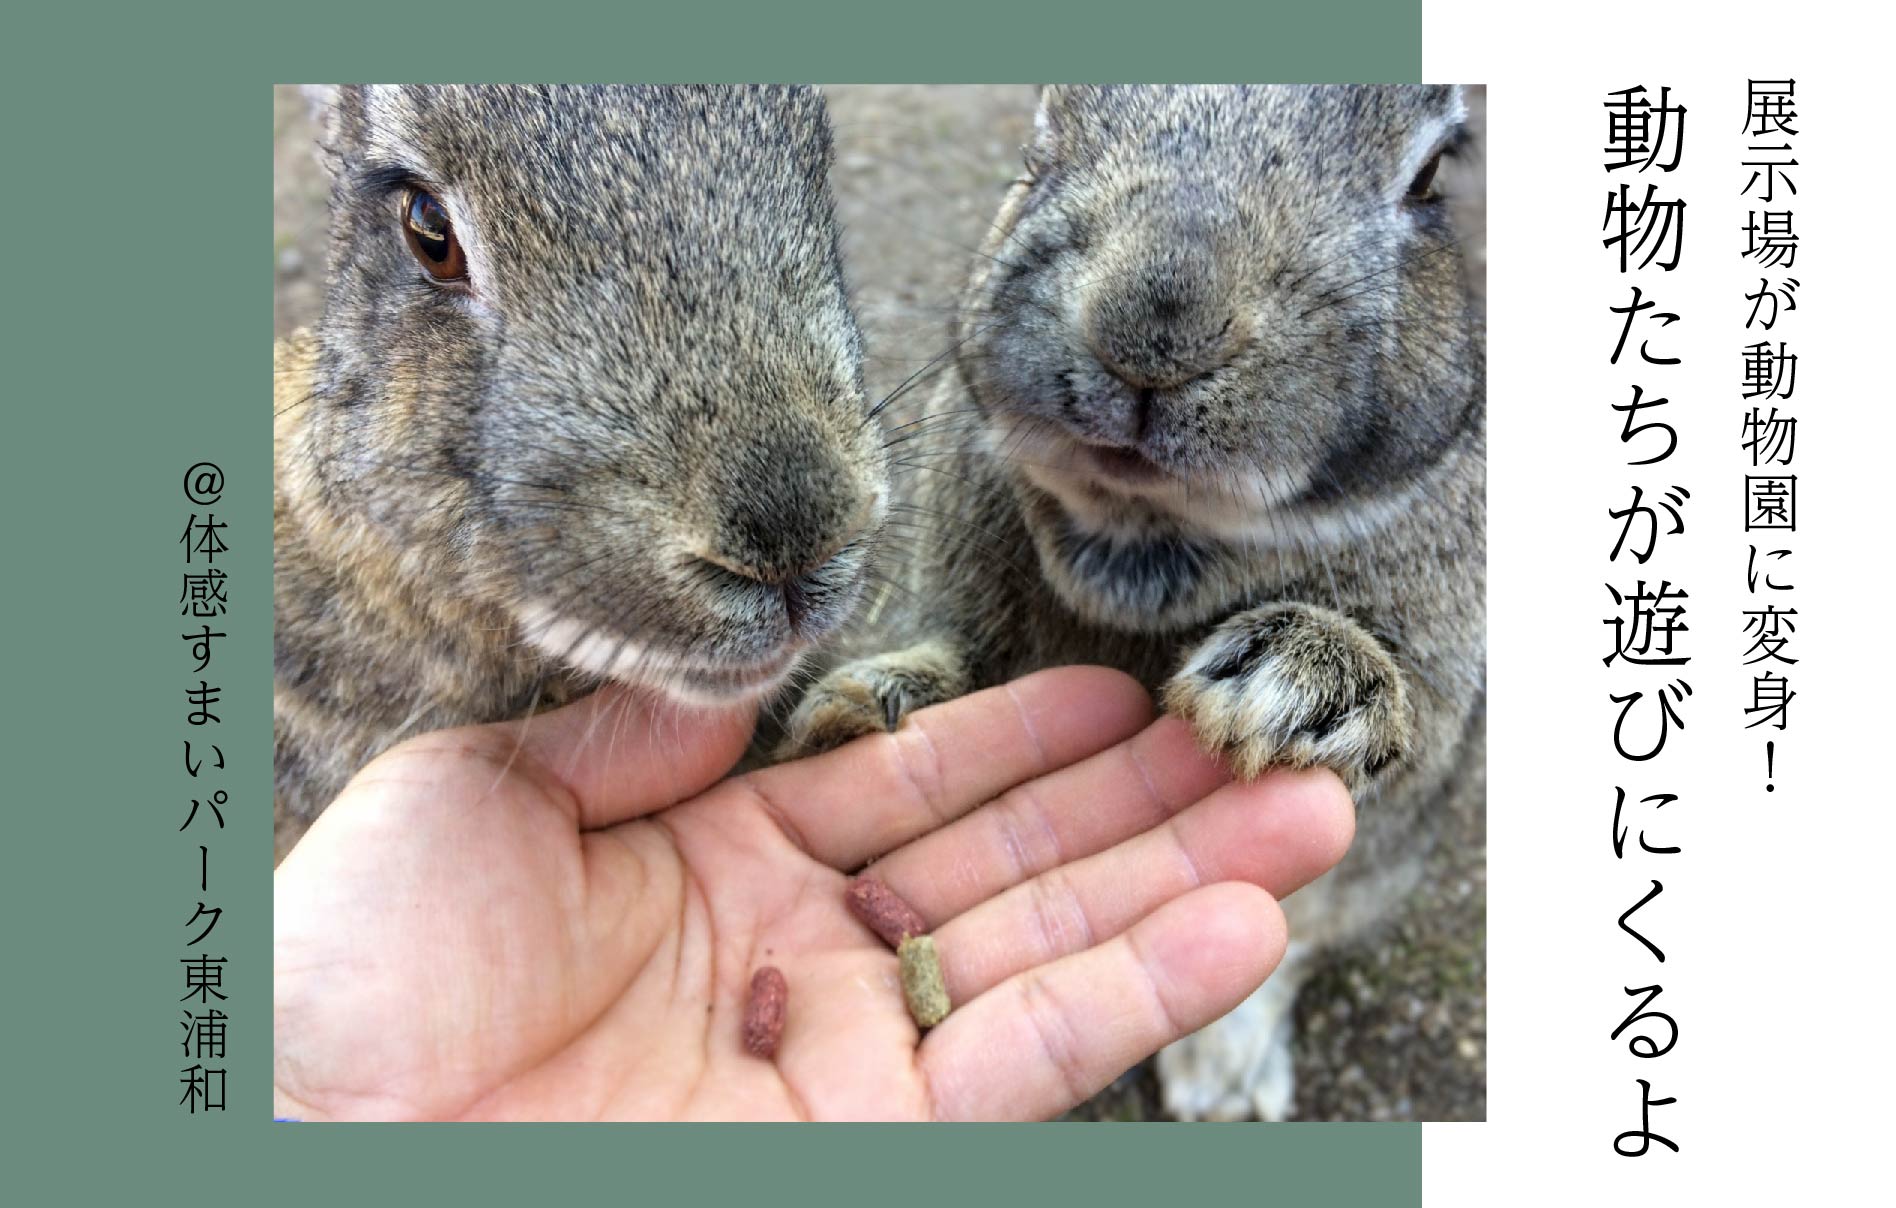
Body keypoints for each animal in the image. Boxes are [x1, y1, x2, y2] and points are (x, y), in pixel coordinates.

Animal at [777, 84, 1486, 1122]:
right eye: (1044, 126)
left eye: (1431, 173)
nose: (1152, 336)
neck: (1139, 531)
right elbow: (951, 662)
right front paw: (854, 713)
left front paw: (1291, 689)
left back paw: (1223, 1082)